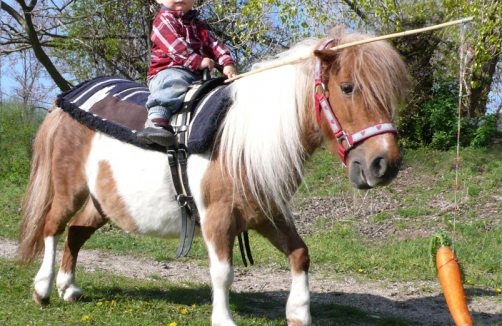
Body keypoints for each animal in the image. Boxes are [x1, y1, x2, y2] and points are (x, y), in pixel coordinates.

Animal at [17, 26, 410, 324]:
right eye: (348, 87)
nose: (384, 164)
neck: (242, 140)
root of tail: (67, 101)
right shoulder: (217, 218)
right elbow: (223, 272)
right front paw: (223, 319)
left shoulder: (267, 213)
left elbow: (300, 254)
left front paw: (299, 312)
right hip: (69, 189)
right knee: (52, 227)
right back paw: (42, 288)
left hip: (103, 202)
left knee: (75, 231)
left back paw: (68, 287)